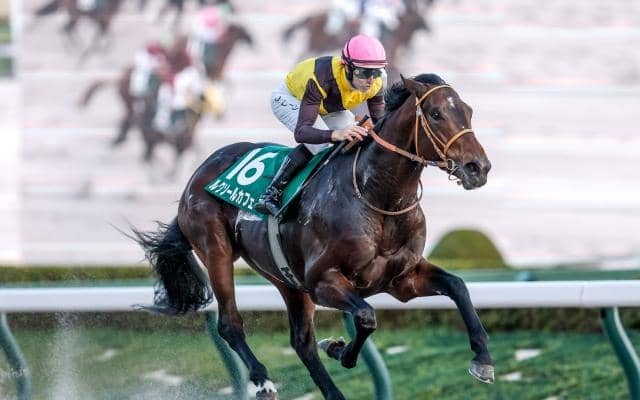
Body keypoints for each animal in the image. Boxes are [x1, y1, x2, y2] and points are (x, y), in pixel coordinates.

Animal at [131, 73, 494, 399]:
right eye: (436, 113)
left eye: (469, 111)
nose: (478, 168)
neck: (377, 195)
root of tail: (197, 175)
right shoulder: (322, 282)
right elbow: (366, 317)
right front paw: (338, 348)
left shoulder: (402, 279)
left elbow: (458, 287)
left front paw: (483, 360)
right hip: (216, 250)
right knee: (230, 324)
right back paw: (263, 382)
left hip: (285, 277)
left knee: (301, 341)